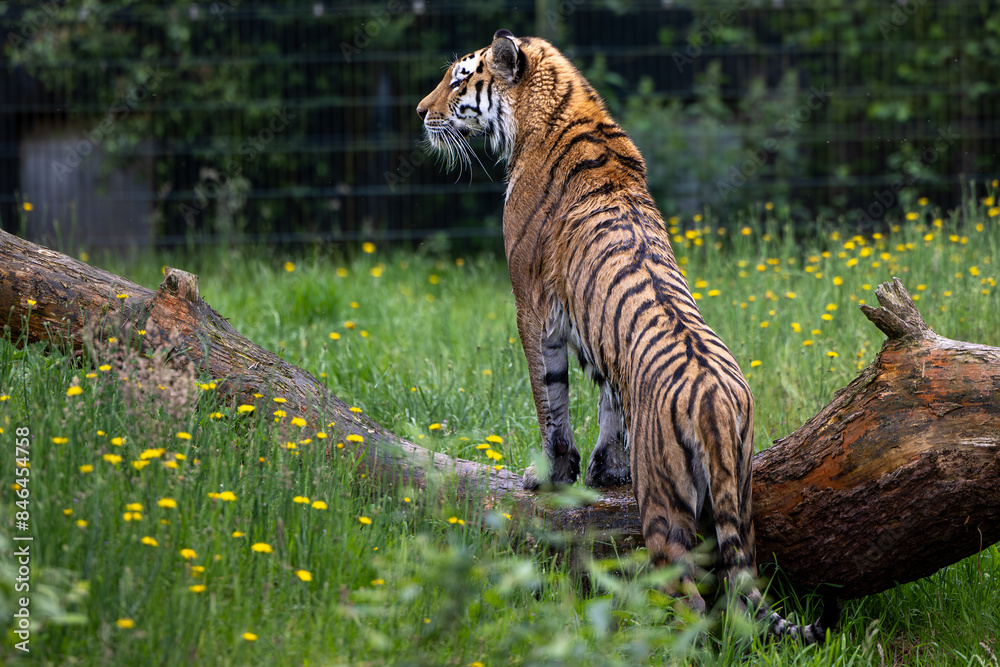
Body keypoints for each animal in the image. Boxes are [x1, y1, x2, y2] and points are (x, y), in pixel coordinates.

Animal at [417, 29, 837, 642]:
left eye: (457, 80)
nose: (419, 113)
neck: (558, 111)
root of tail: (714, 401)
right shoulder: (597, 335)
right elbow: (608, 399)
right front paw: (605, 471)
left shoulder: (531, 308)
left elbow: (550, 401)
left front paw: (552, 476)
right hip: (741, 496)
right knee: (738, 586)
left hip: (663, 505)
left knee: (687, 596)